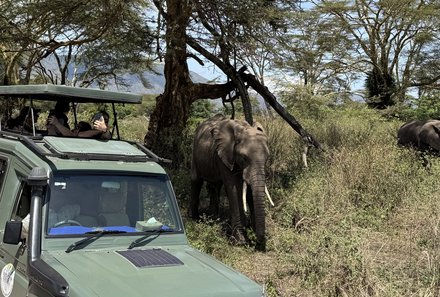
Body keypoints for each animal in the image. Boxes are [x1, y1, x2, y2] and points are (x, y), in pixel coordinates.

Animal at [189, 114, 272, 250]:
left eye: (267, 159)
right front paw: (241, 242)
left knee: (215, 186)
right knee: (196, 180)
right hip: (195, 151)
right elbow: (235, 188)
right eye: (244, 158)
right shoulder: (224, 155)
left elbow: (249, 191)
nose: (258, 242)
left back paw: (214, 219)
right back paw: (194, 218)